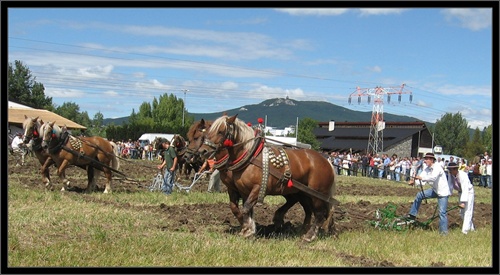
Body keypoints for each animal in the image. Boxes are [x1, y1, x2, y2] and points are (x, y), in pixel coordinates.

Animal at [197, 115, 338, 243]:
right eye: (207, 132)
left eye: (220, 131)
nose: (202, 151)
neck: (250, 156)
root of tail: (326, 161)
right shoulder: (242, 190)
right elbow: (244, 209)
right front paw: (248, 228)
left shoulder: (257, 188)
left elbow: (246, 208)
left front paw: (248, 230)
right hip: (302, 192)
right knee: (308, 210)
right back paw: (300, 228)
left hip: (317, 193)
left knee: (320, 214)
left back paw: (309, 236)